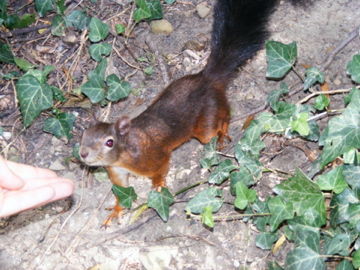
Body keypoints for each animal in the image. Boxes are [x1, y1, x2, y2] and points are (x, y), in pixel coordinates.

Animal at [79, 0, 300, 225]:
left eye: (109, 142)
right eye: (84, 136)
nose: (83, 154)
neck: (123, 155)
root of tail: (208, 78)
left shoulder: (153, 157)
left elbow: (160, 168)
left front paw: (158, 185)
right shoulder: (117, 173)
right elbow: (122, 192)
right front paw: (116, 210)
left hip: (206, 123)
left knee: (222, 119)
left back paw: (222, 134)